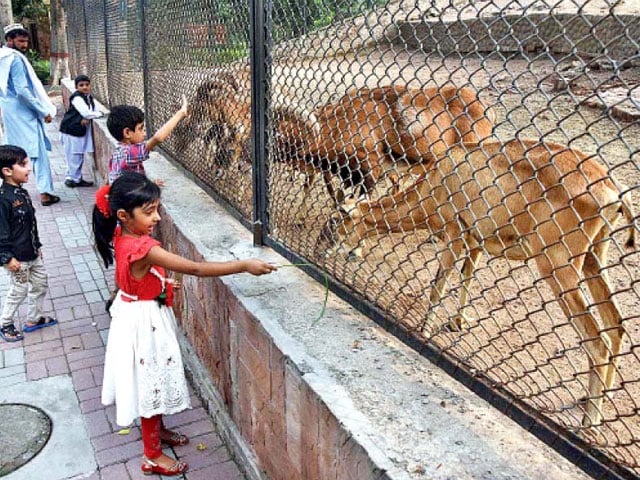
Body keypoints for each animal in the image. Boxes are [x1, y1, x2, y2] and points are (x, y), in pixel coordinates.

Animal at [318, 139, 636, 428]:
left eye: (335, 220)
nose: (323, 250)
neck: (437, 180)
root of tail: (614, 192)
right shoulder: (477, 242)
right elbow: (467, 276)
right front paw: (458, 321)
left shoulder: (454, 233)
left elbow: (440, 282)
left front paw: (424, 330)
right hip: (595, 256)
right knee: (616, 324)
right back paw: (599, 399)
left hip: (558, 265)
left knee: (598, 342)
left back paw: (589, 421)